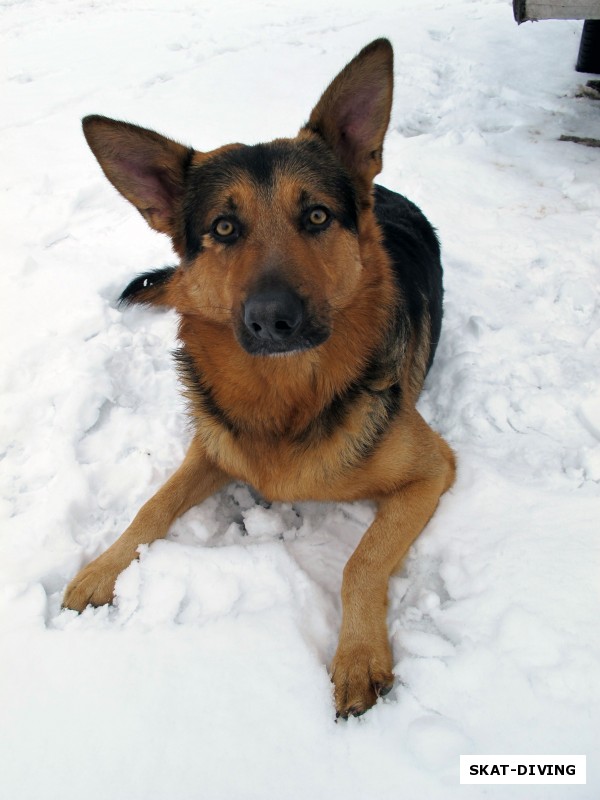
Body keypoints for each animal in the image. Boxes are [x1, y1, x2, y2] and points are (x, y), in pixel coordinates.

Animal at [63, 39, 454, 720]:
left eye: (317, 216)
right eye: (224, 227)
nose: (273, 319)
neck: (287, 393)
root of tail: (384, 189)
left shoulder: (432, 471)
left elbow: (360, 562)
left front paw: (358, 655)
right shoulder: (212, 447)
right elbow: (150, 507)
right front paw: (102, 568)